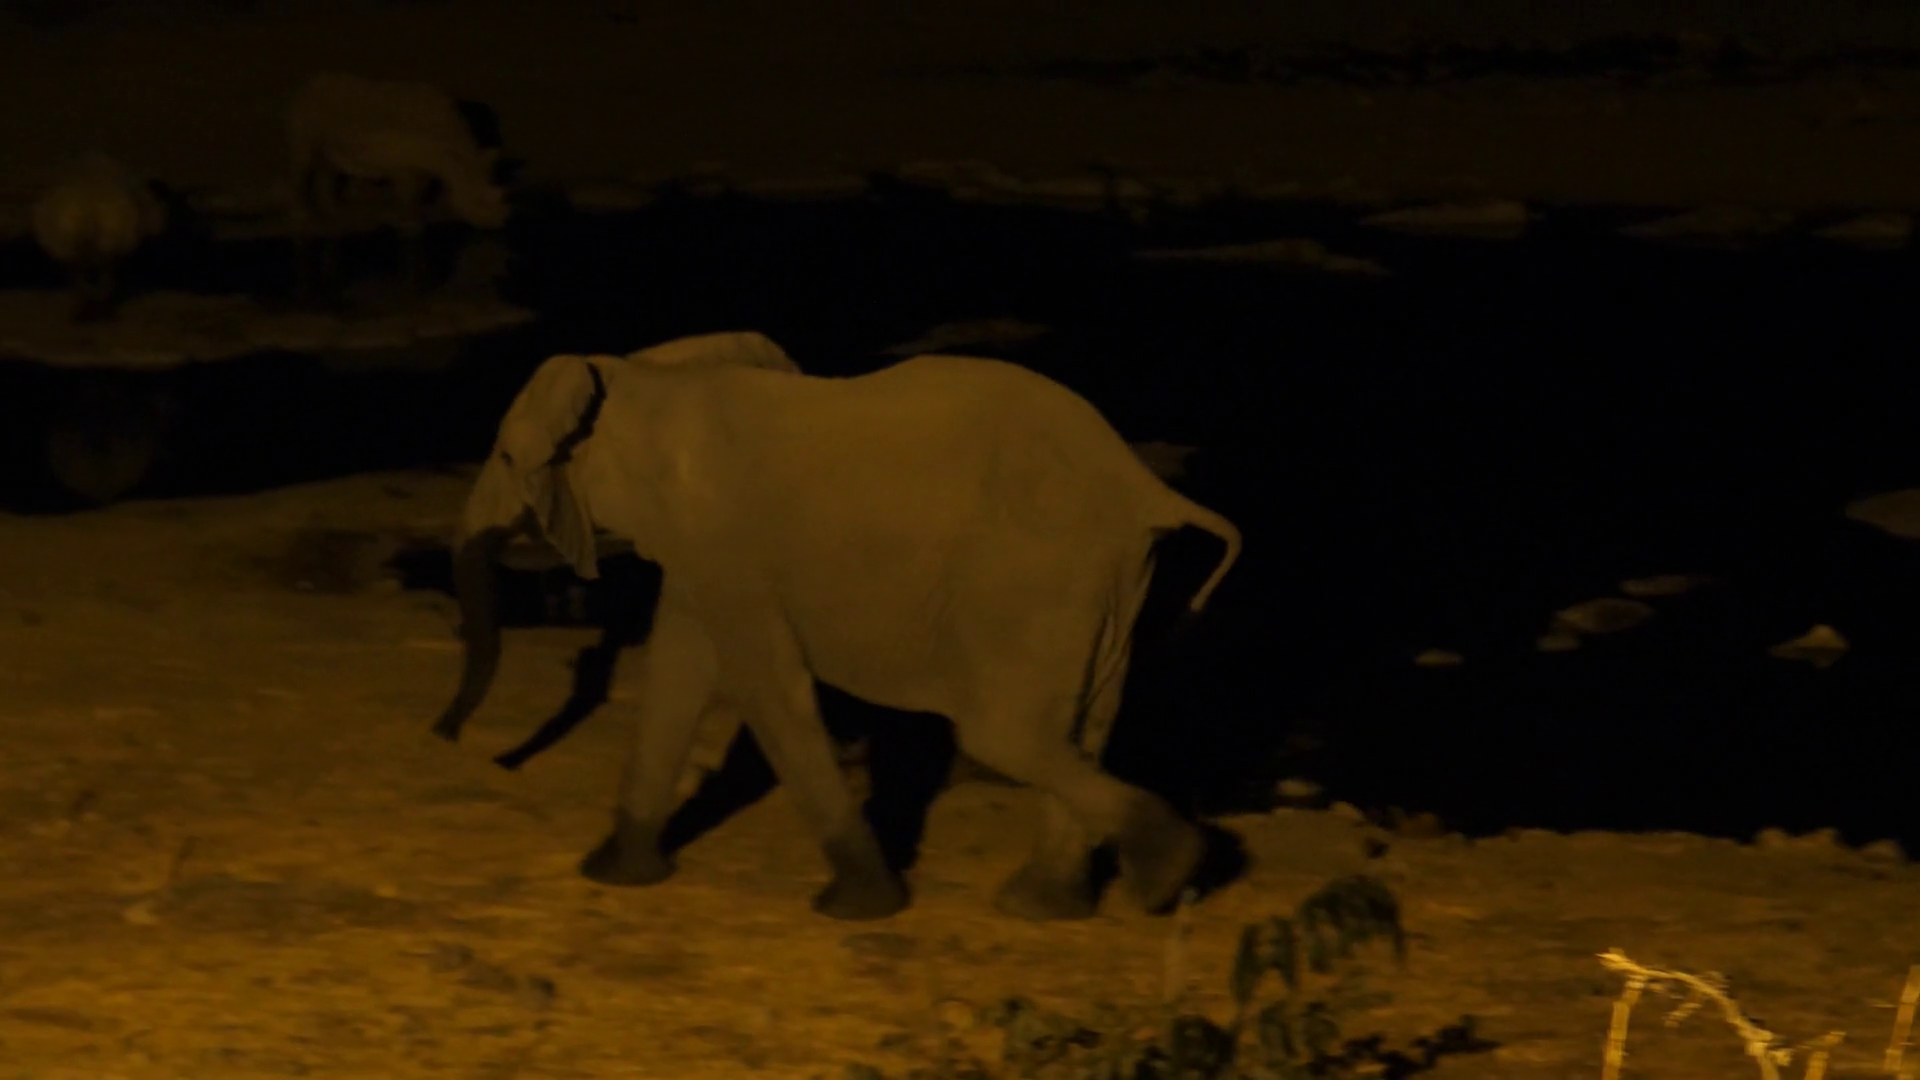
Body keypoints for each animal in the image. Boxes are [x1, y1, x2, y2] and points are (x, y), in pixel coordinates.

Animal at [432, 350, 1242, 922]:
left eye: (505, 458)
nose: (454, 742)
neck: (645, 379)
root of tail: (1145, 486)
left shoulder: (725, 542)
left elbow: (769, 687)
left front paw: (857, 910)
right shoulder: (701, 555)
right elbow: (677, 677)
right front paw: (612, 875)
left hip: (1032, 575)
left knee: (1003, 734)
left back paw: (1170, 873)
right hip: (1109, 580)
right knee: (1086, 725)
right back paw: (1048, 907)